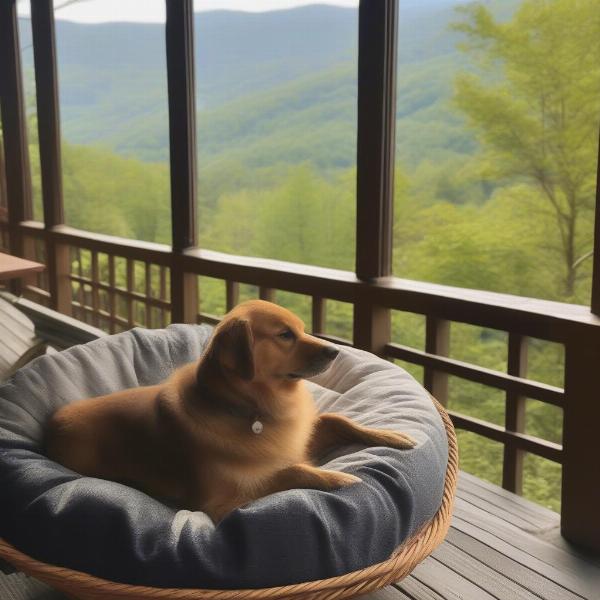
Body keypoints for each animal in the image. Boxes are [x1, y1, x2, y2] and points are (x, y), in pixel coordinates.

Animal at [47, 300, 414, 520]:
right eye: (285, 335)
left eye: (300, 329)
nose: (335, 351)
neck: (252, 410)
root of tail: (53, 424)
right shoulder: (220, 504)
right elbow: (291, 471)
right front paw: (338, 478)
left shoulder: (297, 440)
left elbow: (336, 418)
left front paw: (392, 435)